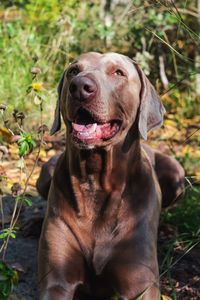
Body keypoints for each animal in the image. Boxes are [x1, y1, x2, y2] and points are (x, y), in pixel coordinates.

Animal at [37, 52, 184, 298]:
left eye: (118, 72)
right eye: (73, 71)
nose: (80, 87)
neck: (95, 180)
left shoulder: (141, 283)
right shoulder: (56, 281)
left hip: (176, 175)